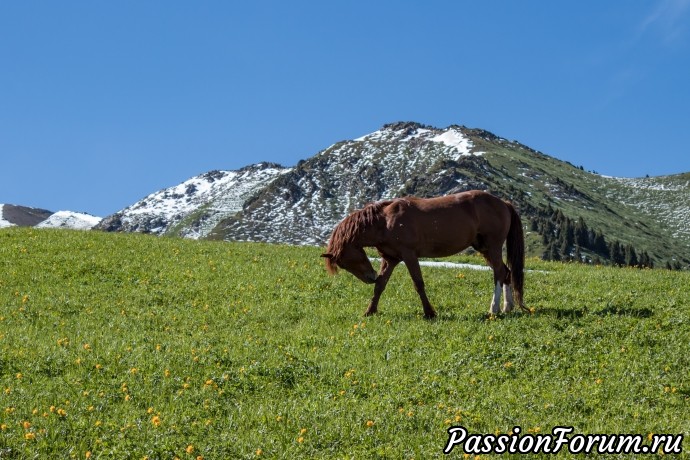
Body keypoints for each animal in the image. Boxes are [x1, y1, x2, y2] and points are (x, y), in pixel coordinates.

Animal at [322, 190, 528, 316]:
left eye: (345, 261)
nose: (369, 277)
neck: (384, 221)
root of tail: (504, 203)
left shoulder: (409, 255)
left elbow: (418, 284)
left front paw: (430, 313)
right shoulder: (390, 259)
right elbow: (380, 286)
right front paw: (369, 311)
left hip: (493, 247)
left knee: (499, 273)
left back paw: (494, 309)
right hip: (484, 249)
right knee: (506, 273)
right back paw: (507, 307)